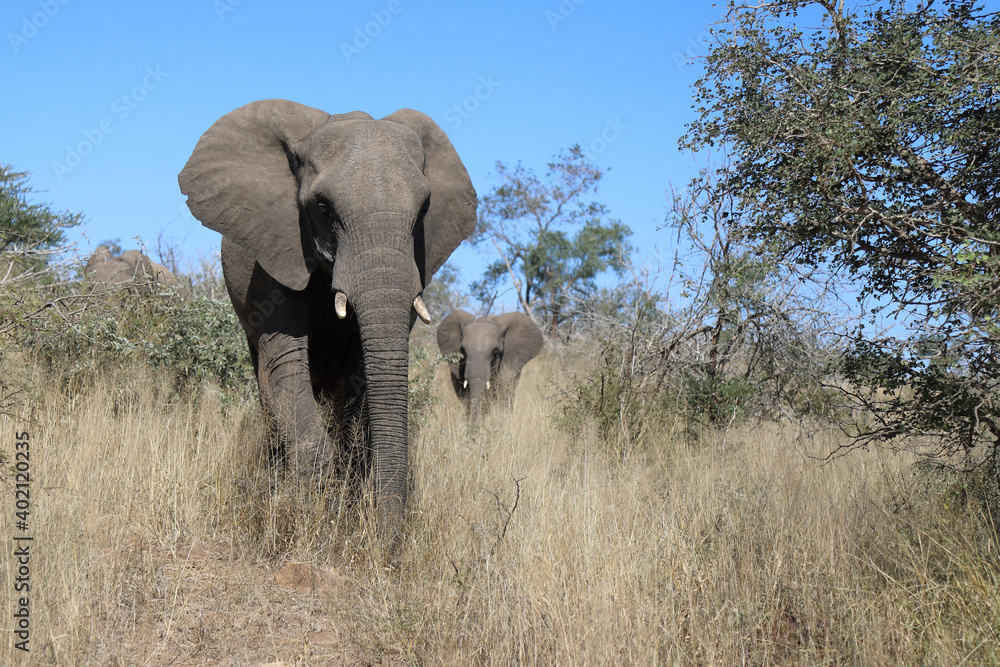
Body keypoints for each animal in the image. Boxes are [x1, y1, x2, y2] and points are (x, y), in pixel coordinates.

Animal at [178, 99, 477, 547]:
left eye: (424, 211)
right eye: (322, 210)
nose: (387, 548)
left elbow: (361, 373)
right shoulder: (277, 253)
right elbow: (284, 367)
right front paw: (312, 510)